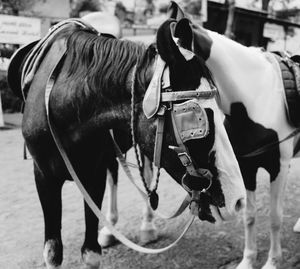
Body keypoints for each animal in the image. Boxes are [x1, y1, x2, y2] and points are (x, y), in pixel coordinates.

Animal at [8, 15, 245, 266]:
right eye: (194, 117)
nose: (238, 200)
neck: (61, 103)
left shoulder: (93, 176)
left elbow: (91, 254)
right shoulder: (44, 177)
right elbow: (53, 253)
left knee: (146, 174)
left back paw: (146, 226)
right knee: (115, 171)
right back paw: (109, 229)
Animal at [169, 2, 300, 268]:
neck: (255, 98)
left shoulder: (279, 167)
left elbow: (275, 217)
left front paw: (273, 261)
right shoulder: (247, 167)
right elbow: (249, 216)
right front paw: (248, 260)